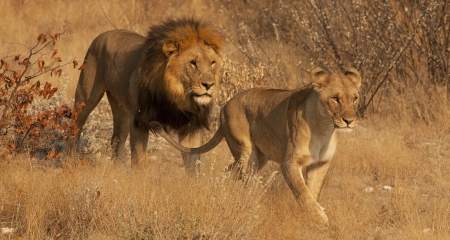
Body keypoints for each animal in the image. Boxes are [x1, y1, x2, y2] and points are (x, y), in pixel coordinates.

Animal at [64, 17, 222, 172]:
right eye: (192, 62)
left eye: (212, 62)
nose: (209, 85)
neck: (176, 95)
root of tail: (102, 35)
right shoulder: (139, 120)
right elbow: (139, 160)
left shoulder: (190, 125)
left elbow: (193, 163)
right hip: (85, 97)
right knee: (75, 127)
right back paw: (71, 162)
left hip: (122, 110)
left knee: (116, 140)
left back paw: (121, 170)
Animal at [149, 67, 360, 223]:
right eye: (335, 99)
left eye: (355, 98)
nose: (349, 121)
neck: (324, 126)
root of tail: (225, 106)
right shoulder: (289, 162)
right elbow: (302, 192)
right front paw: (320, 217)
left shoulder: (320, 164)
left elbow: (312, 191)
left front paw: (312, 218)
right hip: (246, 151)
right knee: (243, 178)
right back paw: (246, 200)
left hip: (259, 158)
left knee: (229, 172)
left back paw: (221, 190)